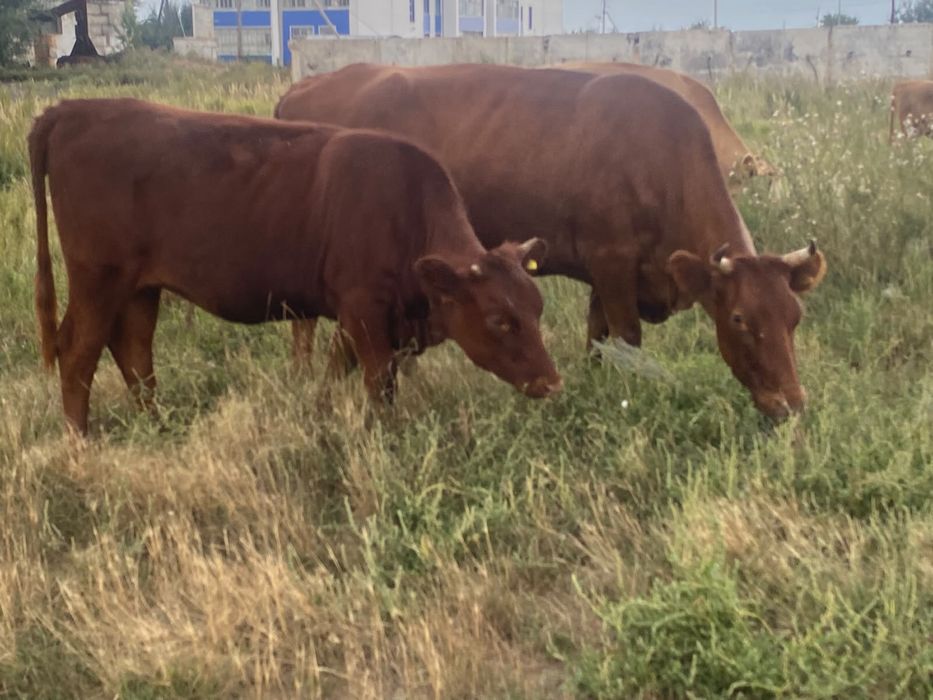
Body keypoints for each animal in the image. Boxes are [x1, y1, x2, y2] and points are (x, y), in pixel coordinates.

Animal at [29, 98, 562, 435]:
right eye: (499, 319)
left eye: (537, 308)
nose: (552, 382)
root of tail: (72, 109)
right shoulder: (365, 312)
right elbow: (379, 383)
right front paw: (384, 436)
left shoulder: (355, 315)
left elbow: (335, 371)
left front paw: (322, 415)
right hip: (98, 279)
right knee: (78, 352)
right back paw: (79, 443)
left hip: (140, 287)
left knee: (134, 352)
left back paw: (157, 426)